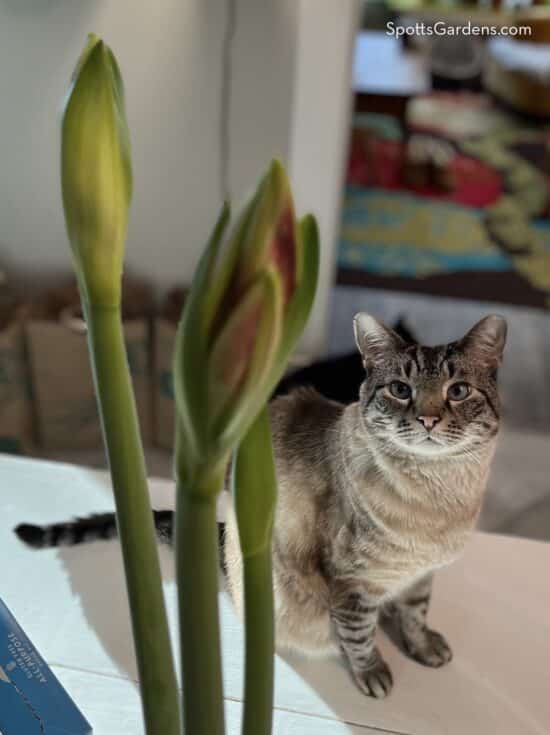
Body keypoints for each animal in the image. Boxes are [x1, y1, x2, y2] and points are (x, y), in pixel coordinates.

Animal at [15, 314, 506, 700]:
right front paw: (373, 673)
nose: (428, 419)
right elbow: (360, 636)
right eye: (401, 389)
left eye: (458, 391)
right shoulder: (350, 581)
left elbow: (416, 613)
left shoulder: (421, 573)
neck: (440, 499)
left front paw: (423, 647)